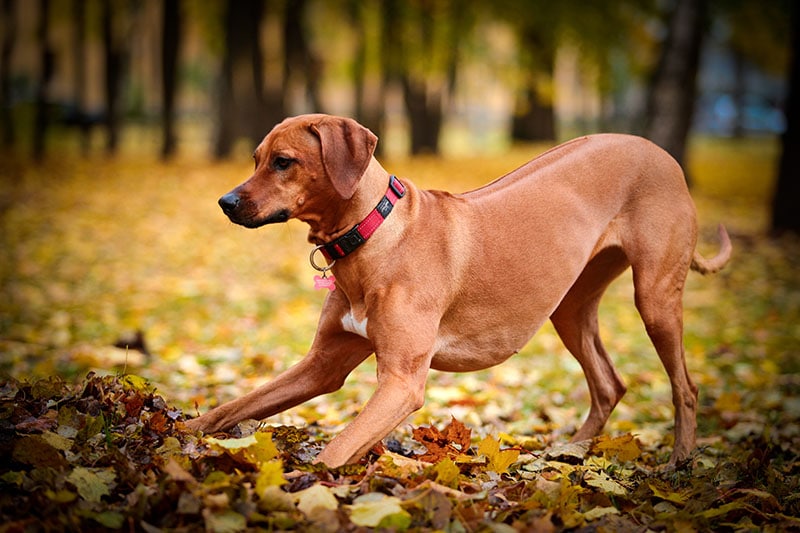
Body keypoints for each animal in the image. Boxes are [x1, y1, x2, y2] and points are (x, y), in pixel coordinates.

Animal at [186, 113, 732, 466]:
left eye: (283, 162)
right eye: (256, 158)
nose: (225, 202)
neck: (373, 233)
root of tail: (663, 154)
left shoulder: (402, 382)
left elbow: (336, 451)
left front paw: (304, 488)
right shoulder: (323, 365)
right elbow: (235, 406)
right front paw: (180, 433)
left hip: (655, 299)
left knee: (685, 386)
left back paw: (680, 463)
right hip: (569, 308)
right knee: (609, 384)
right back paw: (568, 454)